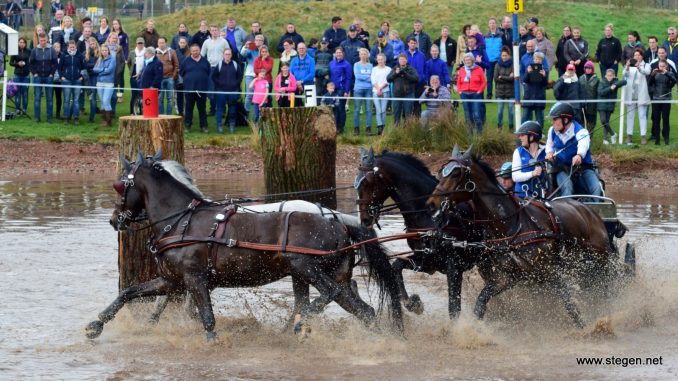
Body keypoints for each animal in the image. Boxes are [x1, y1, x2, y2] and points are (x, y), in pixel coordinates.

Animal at [85, 150, 404, 340]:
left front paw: (212, 343)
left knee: (329, 294)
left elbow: (207, 319)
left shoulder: (195, 279)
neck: (182, 220)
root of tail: (338, 221)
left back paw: (301, 324)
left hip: (306, 266)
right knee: (362, 310)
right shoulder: (173, 280)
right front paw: (97, 324)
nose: (114, 219)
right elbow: (129, 292)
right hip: (324, 273)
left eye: (119, 185)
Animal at [356, 147, 484, 320]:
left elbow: (454, 308)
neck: (429, 216)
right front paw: (413, 303)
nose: (364, 219)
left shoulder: (454, 266)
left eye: (367, 182)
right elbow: (396, 266)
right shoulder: (426, 259)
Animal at [428, 145, 624, 326]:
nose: (431, 203)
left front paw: (585, 327)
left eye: (456, 173)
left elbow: (569, 304)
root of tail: (589, 210)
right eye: (441, 171)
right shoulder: (506, 277)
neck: (513, 224)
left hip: (601, 259)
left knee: (607, 286)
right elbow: (481, 302)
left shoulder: (550, 272)